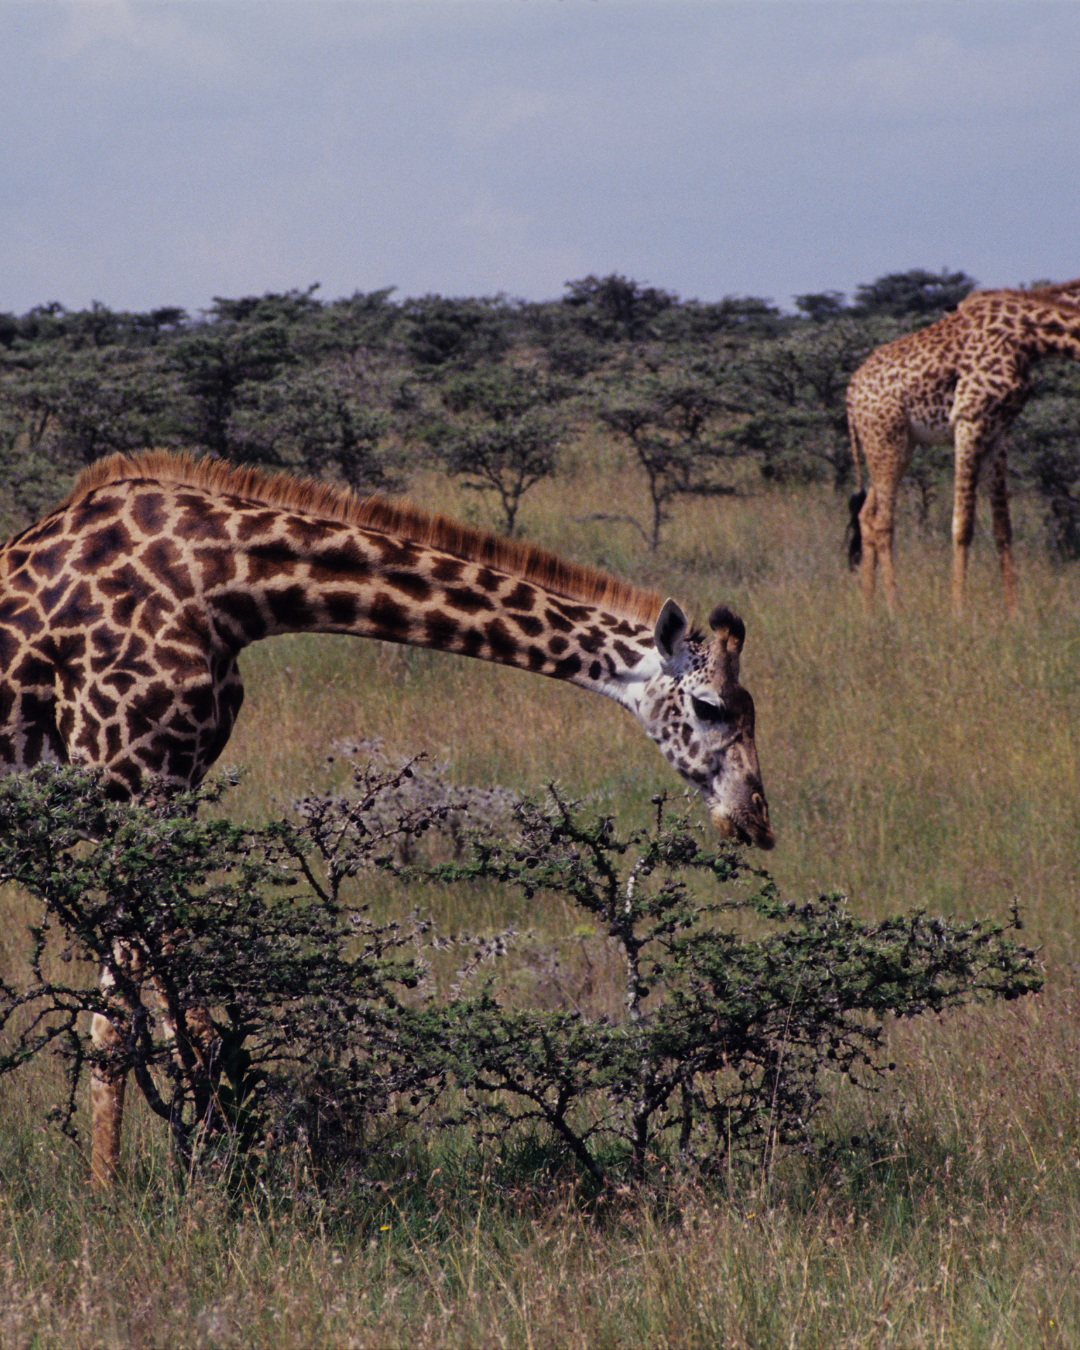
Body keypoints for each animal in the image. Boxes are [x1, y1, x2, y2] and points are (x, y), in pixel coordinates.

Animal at [0, 450, 774, 1185]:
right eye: (709, 706)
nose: (756, 820)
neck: (227, 590)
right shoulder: (135, 786)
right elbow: (175, 1008)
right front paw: (221, 1181)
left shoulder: (157, 791)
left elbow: (114, 1016)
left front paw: (111, 1190)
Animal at [846, 282, 1080, 614]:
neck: (1029, 339)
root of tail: (850, 395)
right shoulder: (969, 420)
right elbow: (962, 525)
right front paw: (959, 612)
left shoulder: (998, 432)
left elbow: (1003, 527)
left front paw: (1014, 613)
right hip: (886, 441)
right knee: (882, 521)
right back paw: (895, 609)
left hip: (897, 446)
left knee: (866, 515)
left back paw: (868, 610)